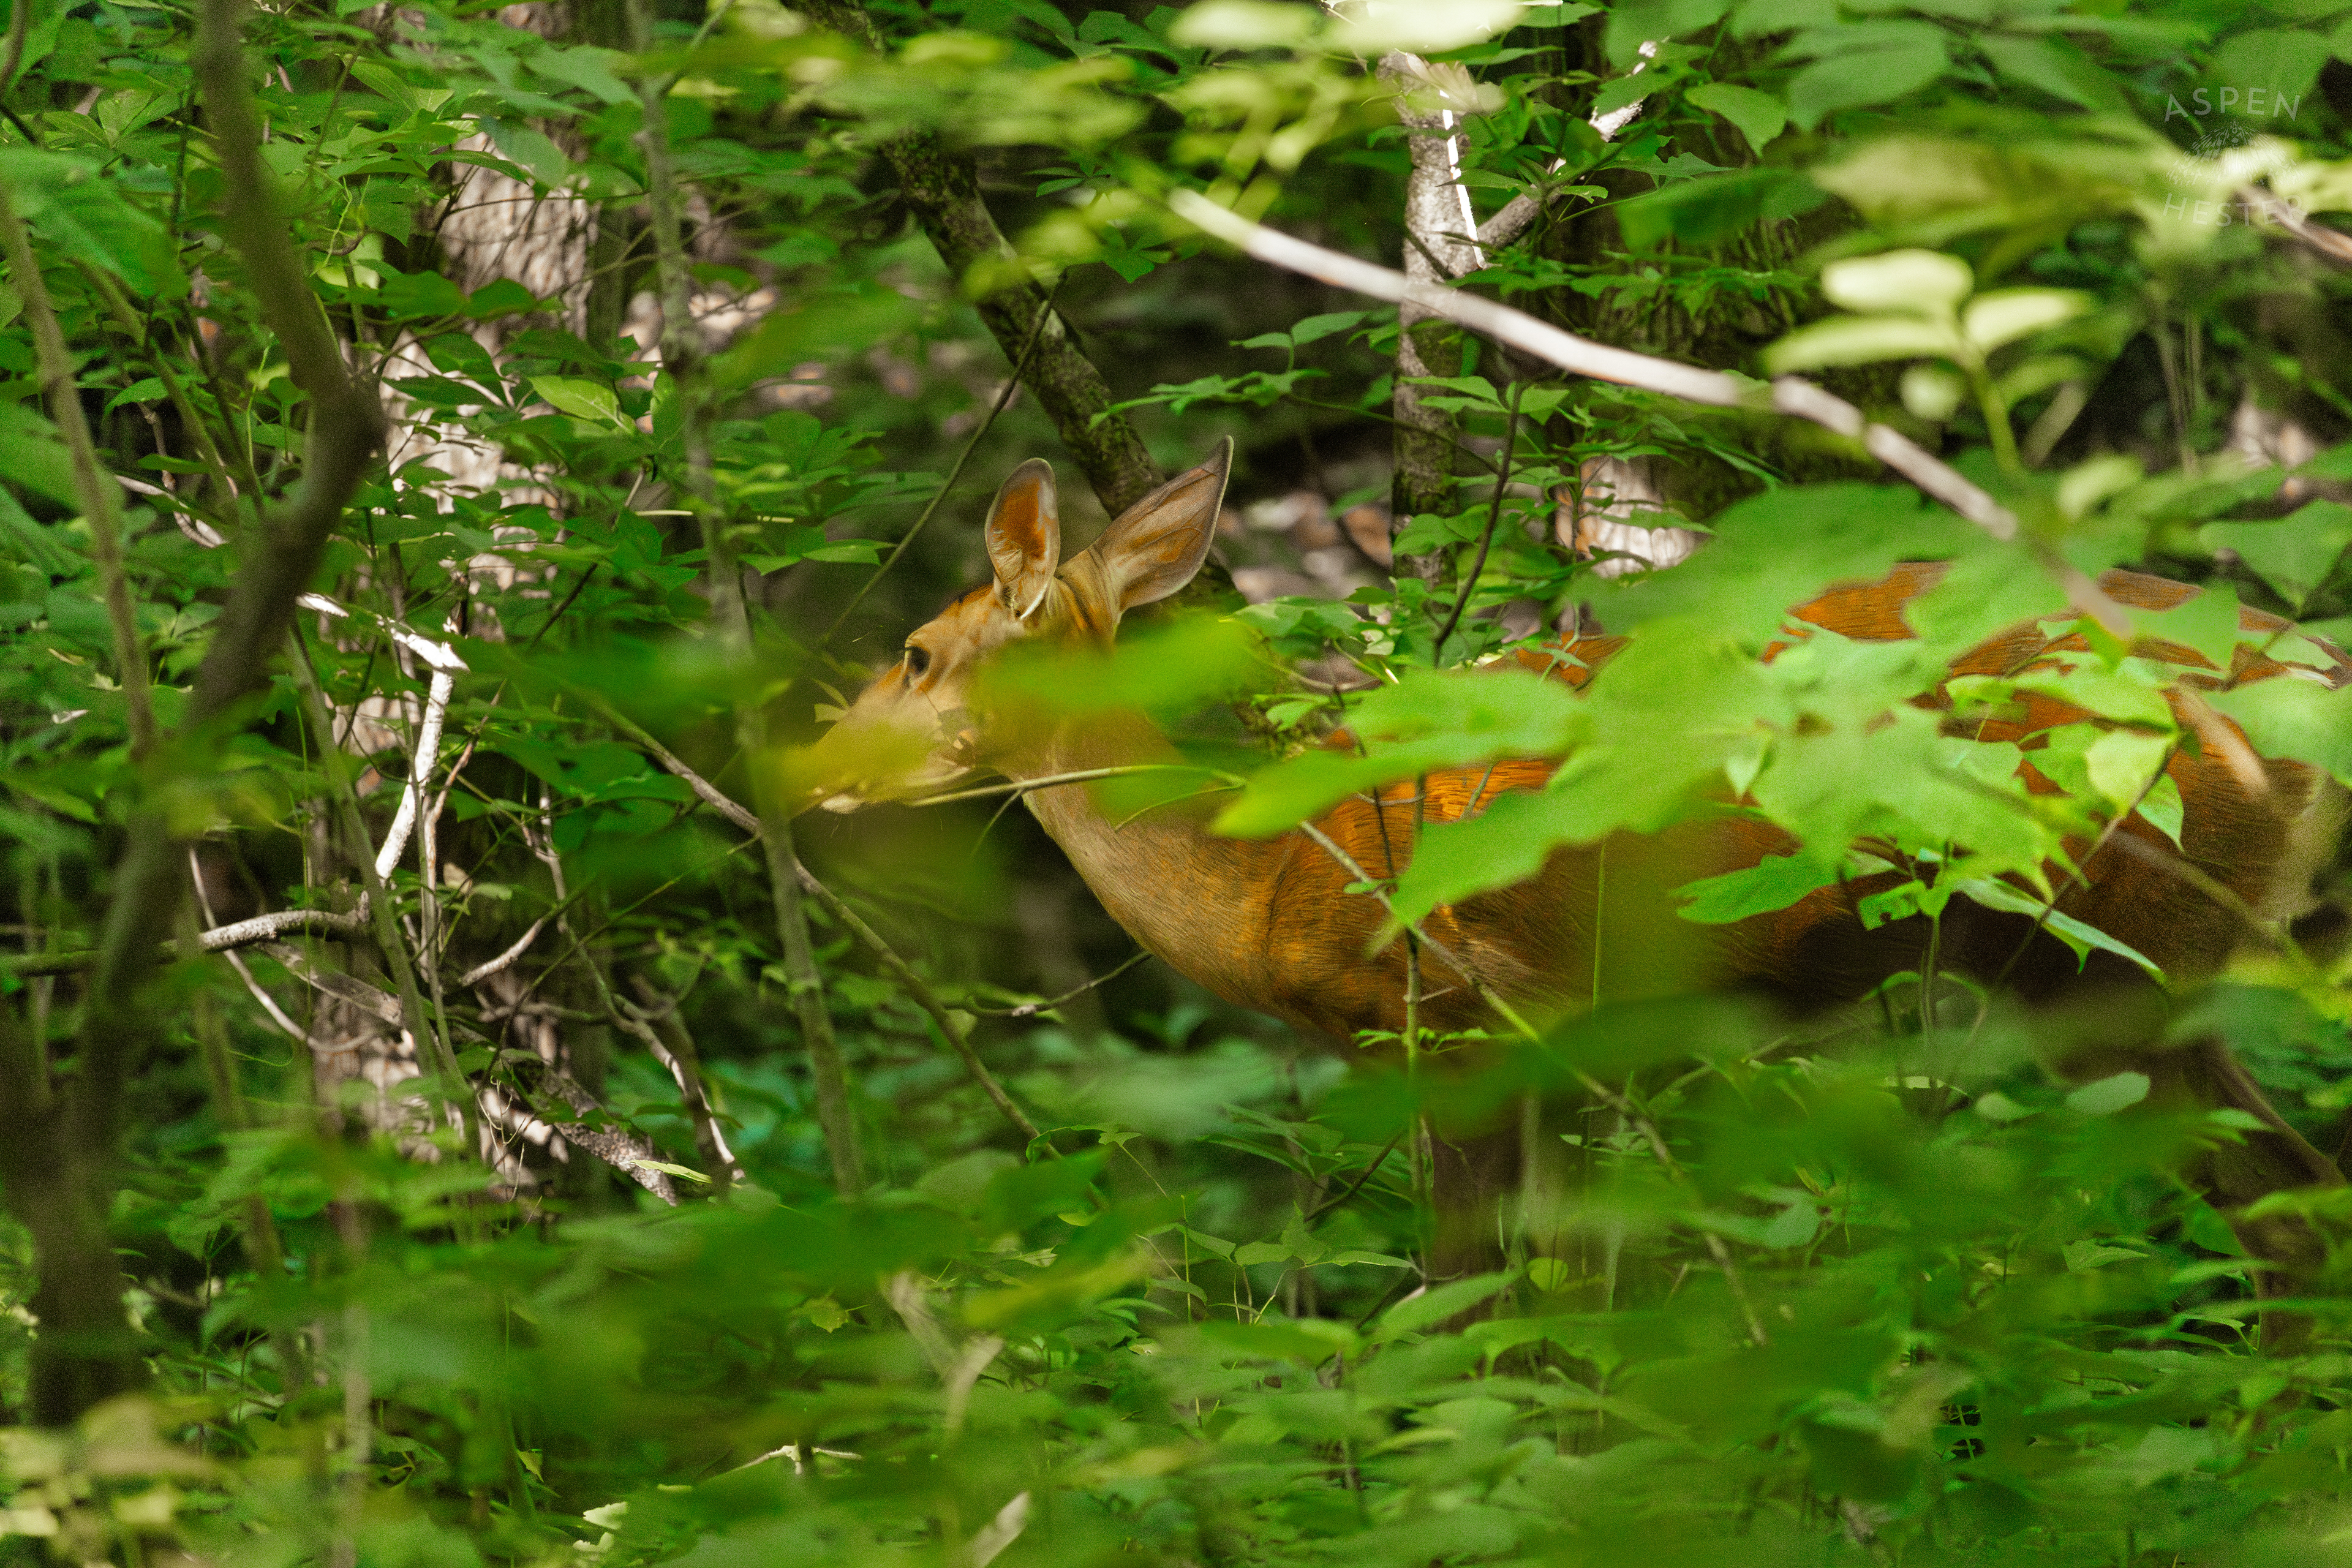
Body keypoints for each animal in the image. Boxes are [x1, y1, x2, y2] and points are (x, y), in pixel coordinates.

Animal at [800, 438, 2352, 1300]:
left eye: (918, 653)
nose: (811, 766)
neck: (1267, 890)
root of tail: (2310, 669)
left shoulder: (1469, 1018)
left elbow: (1470, 1296)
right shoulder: (1583, 1056)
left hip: (2110, 936)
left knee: (2282, 1210)